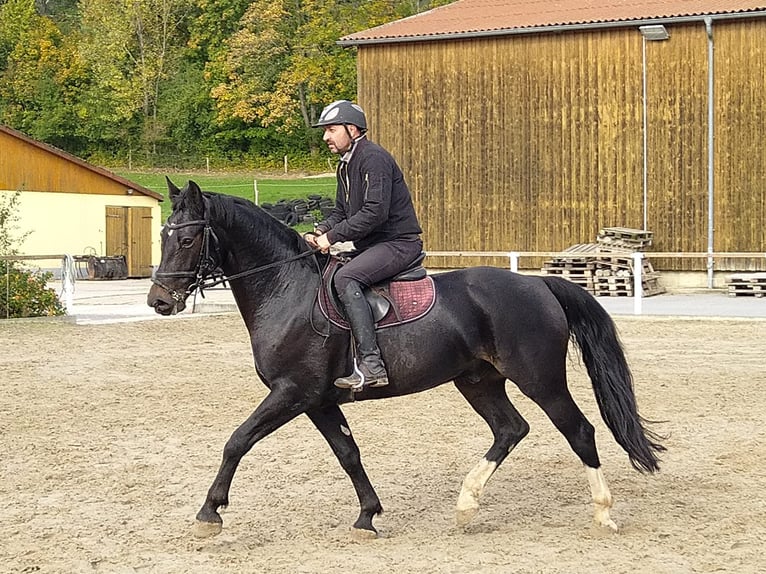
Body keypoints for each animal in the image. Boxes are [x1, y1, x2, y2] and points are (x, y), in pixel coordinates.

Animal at [148, 180, 664, 540]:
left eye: (188, 241)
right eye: (163, 236)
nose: (159, 301)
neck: (286, 288)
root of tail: (538, 284)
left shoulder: (292, 393)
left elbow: (237, 441)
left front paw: (209, 513)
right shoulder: (318, 401)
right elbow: (348, 454)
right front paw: (367, 516)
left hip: (540, 379)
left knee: (578, 431)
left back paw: (603, 514)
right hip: (479, 381)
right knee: (510, 429)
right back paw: (466, 505)